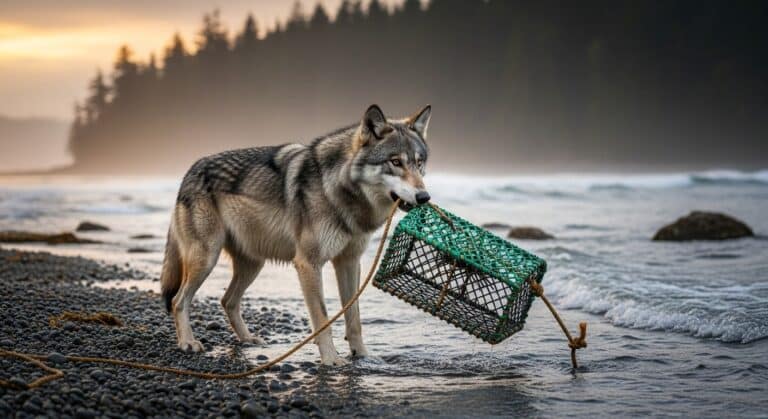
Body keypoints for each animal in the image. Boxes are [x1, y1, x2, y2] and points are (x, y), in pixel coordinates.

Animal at [160, 104, 432, 366]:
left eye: (419, 163)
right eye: (395, 162)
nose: (424, 197)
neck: (339, 190)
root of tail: (189, 172)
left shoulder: (349, 262)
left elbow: (354, 318)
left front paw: (363, 356)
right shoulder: (308, 264)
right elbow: (322, 318)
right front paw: (332, 360)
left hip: (253, 265)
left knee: (227, 301)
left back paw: (248, 339)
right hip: (207, 260)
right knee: (178, 301)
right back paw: (188, 343)